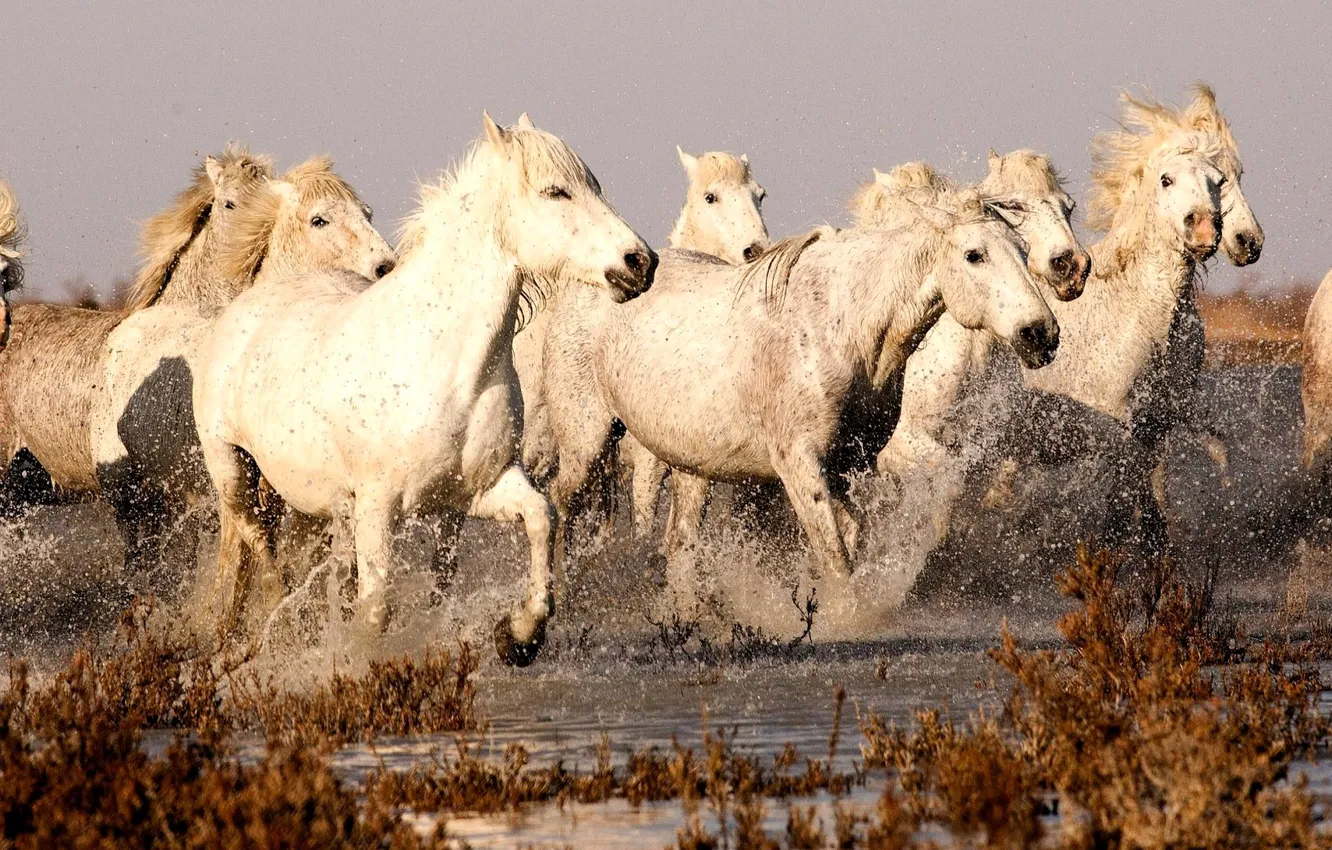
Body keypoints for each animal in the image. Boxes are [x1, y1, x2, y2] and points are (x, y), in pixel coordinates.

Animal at [191, 113, 656, 666]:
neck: (444, 364)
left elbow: (541, 518)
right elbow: (376, 608)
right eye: (555, 191)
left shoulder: (477, 490)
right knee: (257, 541)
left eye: (595, 187)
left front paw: (518, 636)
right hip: (233, 468)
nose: (640, 262)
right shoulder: (378, 507)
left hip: (320, 504)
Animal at [543, 191, 1059, 583]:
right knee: (561, 502)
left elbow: (852, 539)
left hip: (691, 466)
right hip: (588, 442)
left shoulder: (850, 465)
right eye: (974, 255)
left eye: (1021, 251)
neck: (839, 327)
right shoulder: (800, 465)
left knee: (679, 540)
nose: (1041, 334)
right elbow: (835, 557)